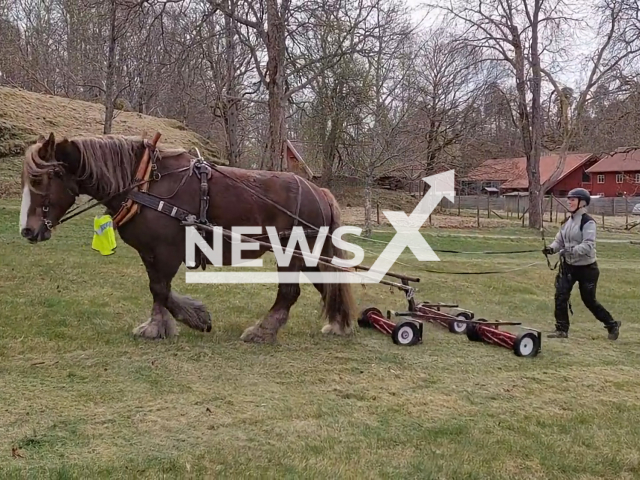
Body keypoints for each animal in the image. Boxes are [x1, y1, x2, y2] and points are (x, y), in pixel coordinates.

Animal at [20, 132, 358, 342]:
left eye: (45, 177)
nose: (28, 230)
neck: (145, 184)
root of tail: (320, 191)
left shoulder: (166, 251)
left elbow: (160, 289)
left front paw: (175, 322)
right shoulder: (150, 253)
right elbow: (160, 290)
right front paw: (180, 319)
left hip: (291, 252)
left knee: (289, 294)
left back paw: (263, 331)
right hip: (310, 255)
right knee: (328, 285)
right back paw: (338, 324)